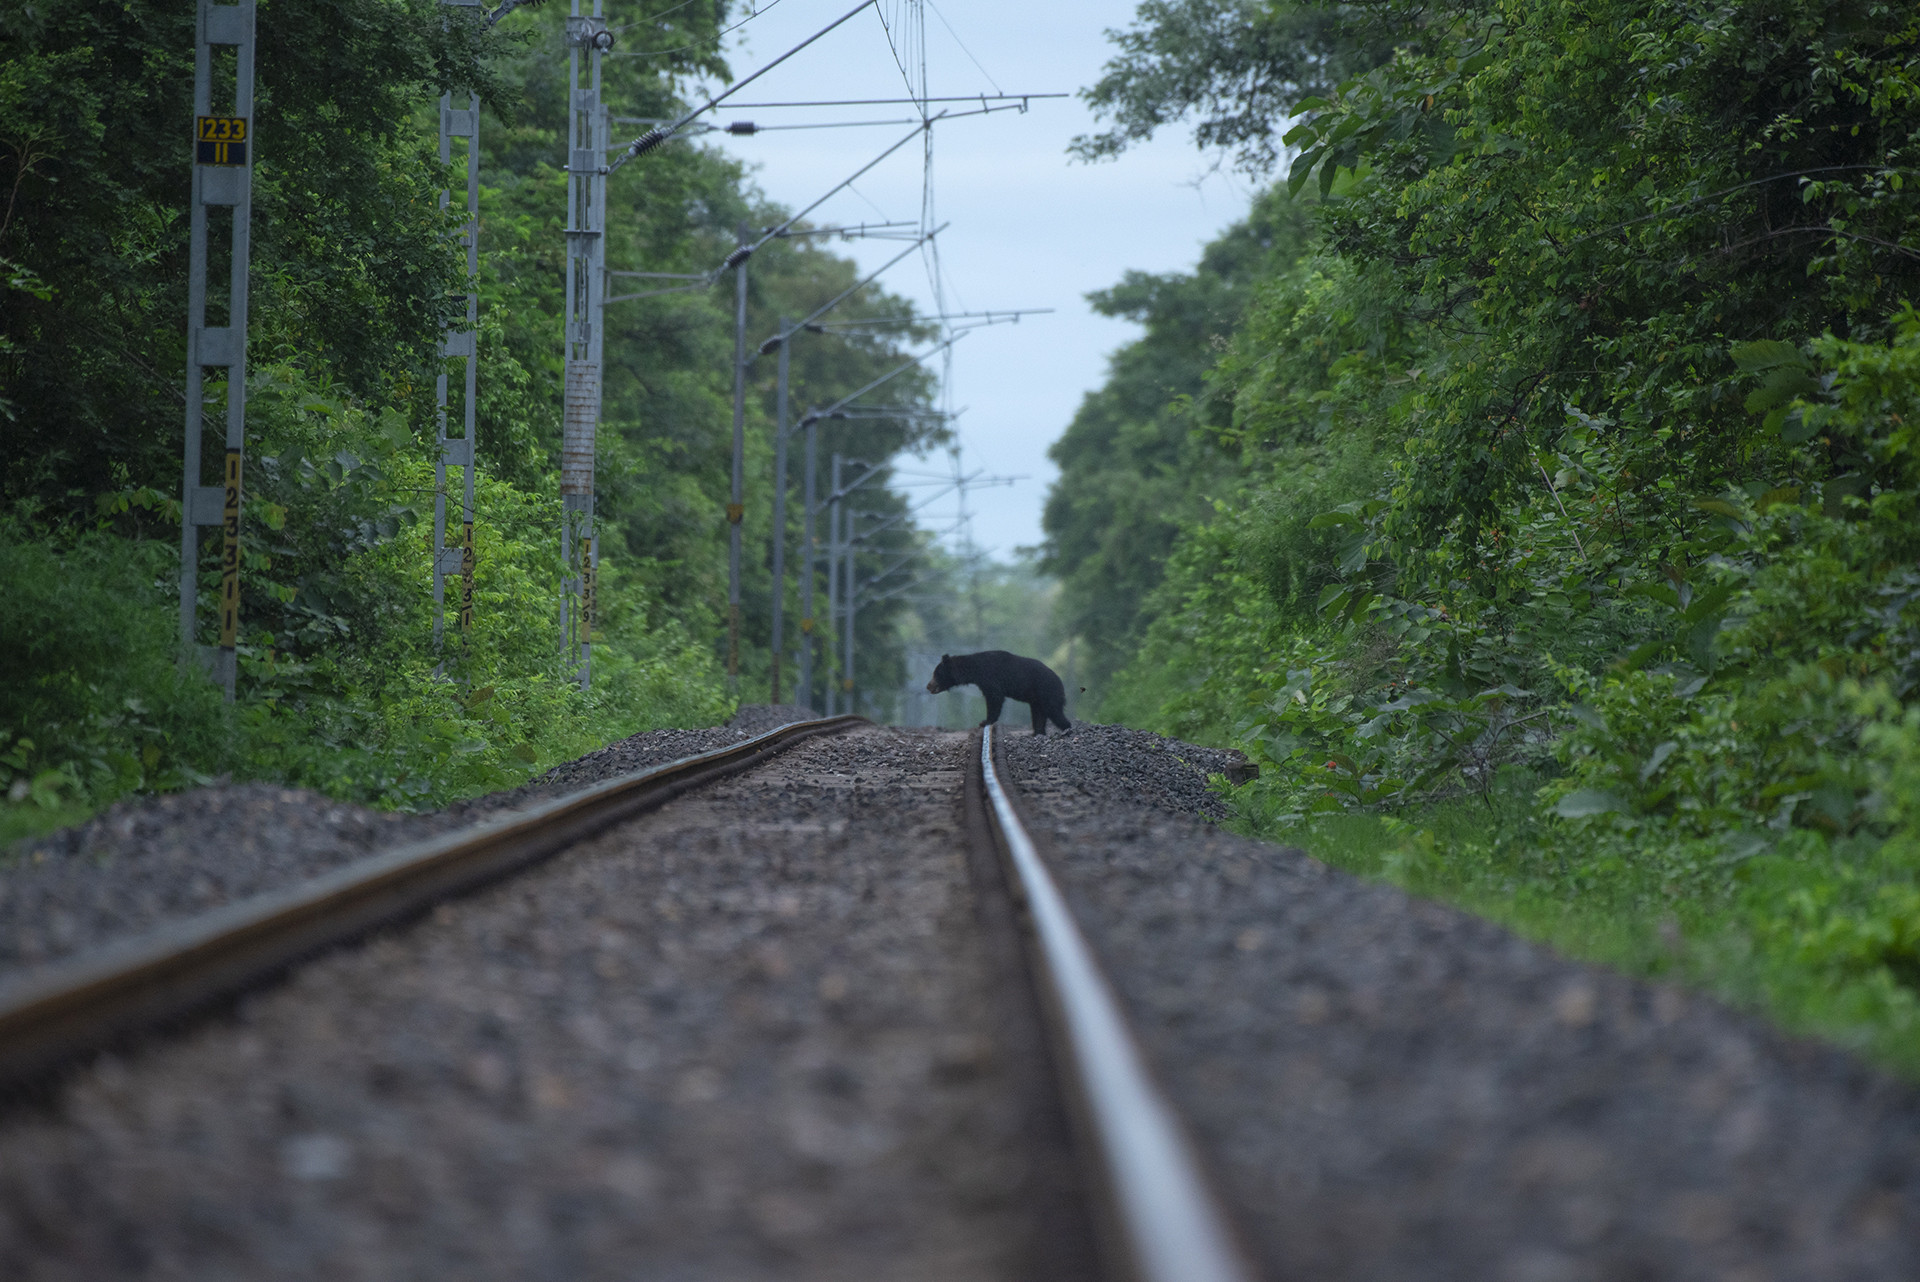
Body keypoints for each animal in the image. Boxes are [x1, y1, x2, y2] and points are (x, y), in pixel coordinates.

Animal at [926, 650, 1072, 736]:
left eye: (936, 674)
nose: (928, 686)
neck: (974, 671)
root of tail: (1060, 682)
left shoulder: (990, 677)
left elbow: (995, 698)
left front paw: (985, 721)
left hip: (1047, 692)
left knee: (1054, 712)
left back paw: (1066, 729)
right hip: (1037, 699)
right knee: (1039, 715)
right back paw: (1038, 732)